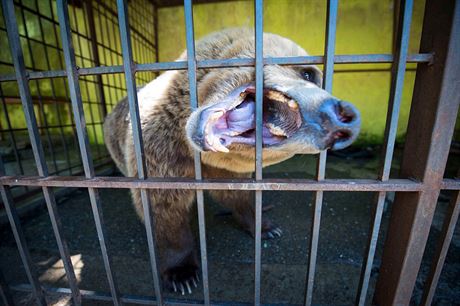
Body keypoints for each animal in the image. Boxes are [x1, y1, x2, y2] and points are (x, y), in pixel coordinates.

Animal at [103, 28, 360, 294]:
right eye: (308, 73)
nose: (345, 118)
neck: (192, 146)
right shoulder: (160, 151)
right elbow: (164, 208)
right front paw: (182, 275)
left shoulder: (226, 168)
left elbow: (237, 195)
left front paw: (267, 227)